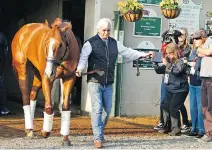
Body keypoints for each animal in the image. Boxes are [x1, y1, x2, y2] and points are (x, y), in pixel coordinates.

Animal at [11, 18, 79, 146]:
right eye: (46, 43)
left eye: (60, 44)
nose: (49, 71)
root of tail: (22, 30)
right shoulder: (47, 79)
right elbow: (49, 108)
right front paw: (45, 131)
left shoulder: (70, 78)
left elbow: (66, 107)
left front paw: (65, 138)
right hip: (23, 70)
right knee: (26, 97)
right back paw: (29, 129)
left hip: (38, 74)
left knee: (32, 95)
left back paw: (30, 127)